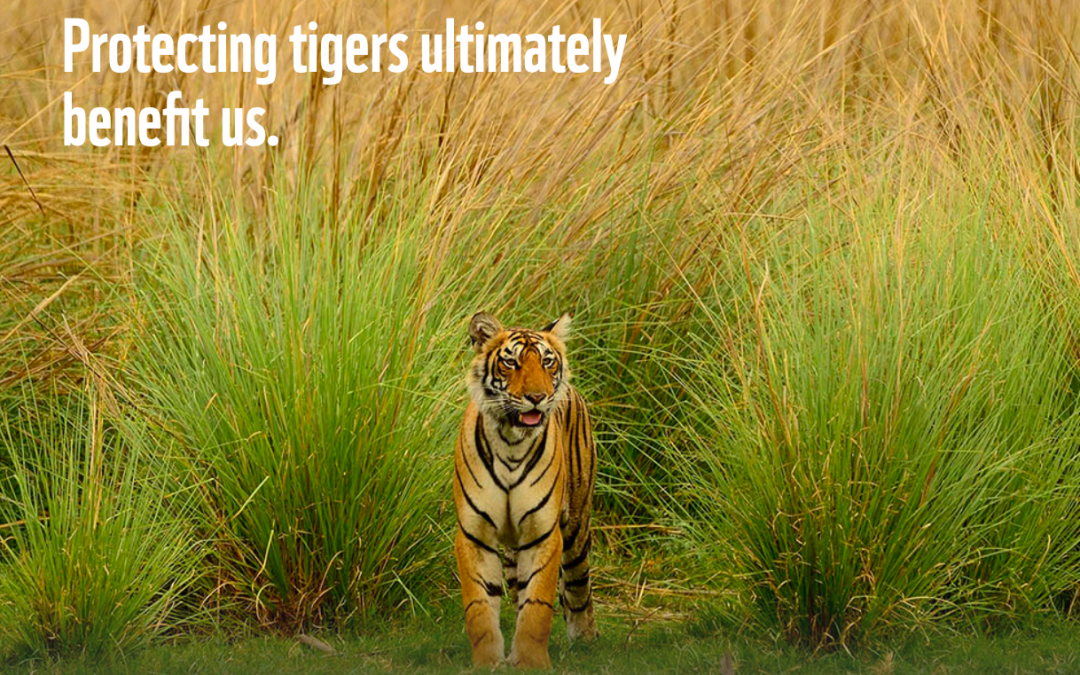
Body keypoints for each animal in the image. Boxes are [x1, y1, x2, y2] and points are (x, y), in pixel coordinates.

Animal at [453, 311, 598, 669]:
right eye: (511, 363)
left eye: (547, 362)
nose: (537, 397)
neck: (510, 442)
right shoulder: (475, 533)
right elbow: (480, 605)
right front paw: (488, 663)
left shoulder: (543, 532)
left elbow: (537, 604)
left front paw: (531, 662)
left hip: (577, 527)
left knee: (578, 585)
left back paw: (585, 639)